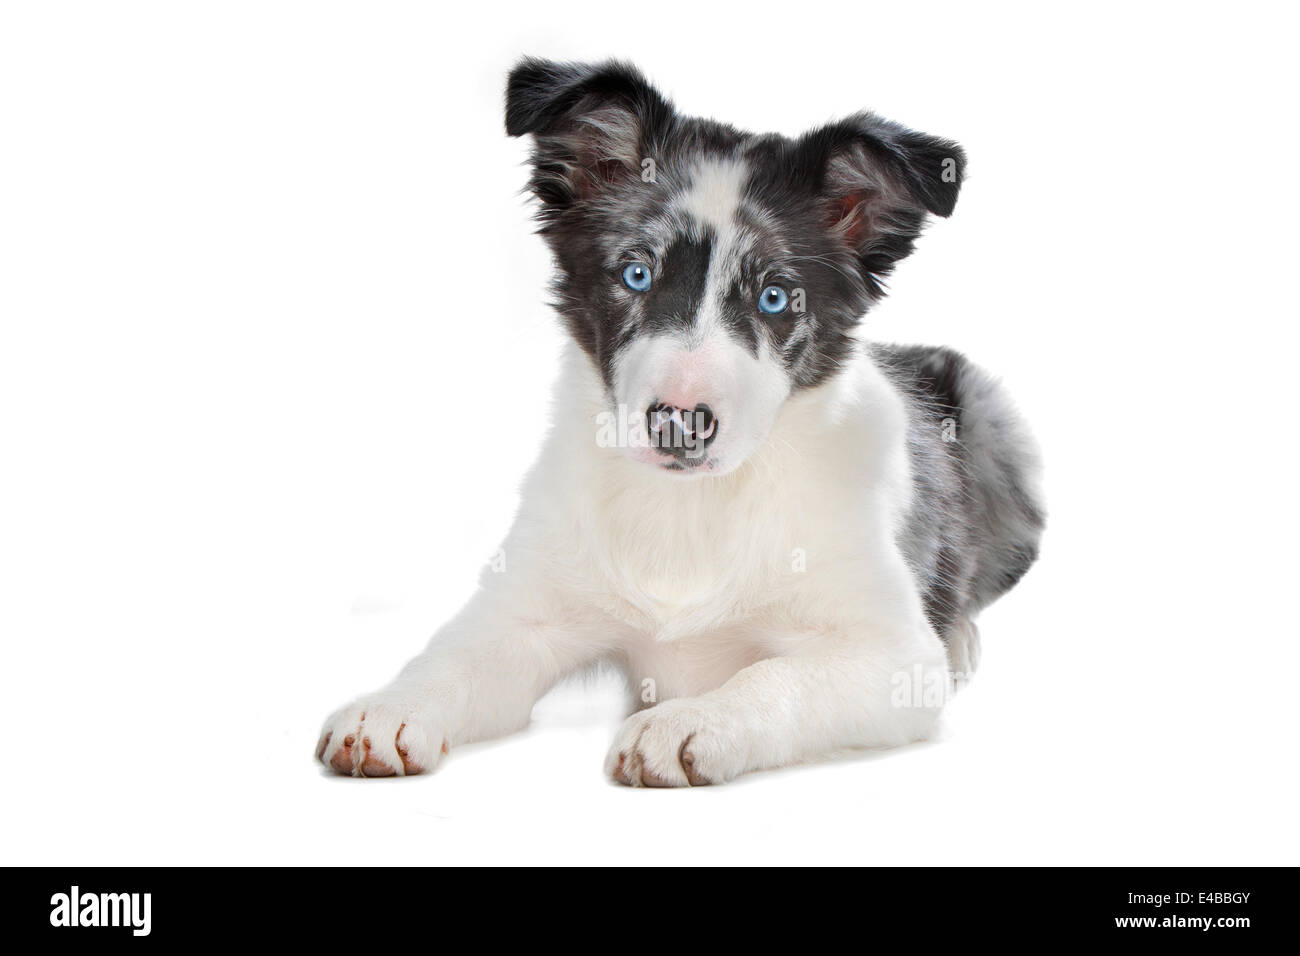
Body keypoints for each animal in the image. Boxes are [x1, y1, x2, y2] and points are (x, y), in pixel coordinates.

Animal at [314, 61, 1045, 790]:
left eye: (774, 297)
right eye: (636, 274)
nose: (678, 424)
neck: (689, 506)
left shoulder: (895, 658)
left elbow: (774, 676)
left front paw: (690, 723)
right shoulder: (526, 611)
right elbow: (453, 656)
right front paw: (392, 707)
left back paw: (963, 638)